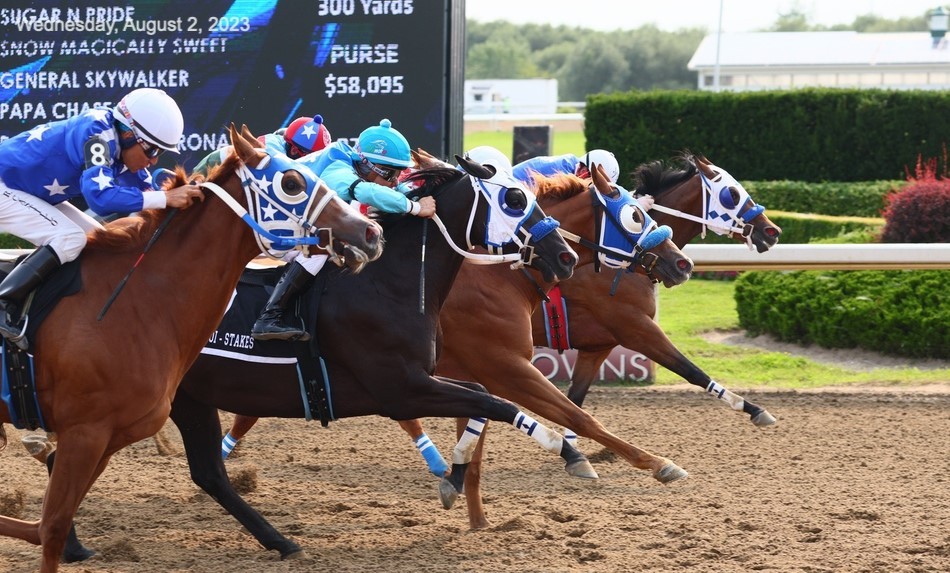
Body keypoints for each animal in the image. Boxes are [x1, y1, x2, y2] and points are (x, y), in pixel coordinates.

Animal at [0, 123, 384, 568]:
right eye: (291, 183)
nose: (371, 233)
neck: (135, 301)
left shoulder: (109, 435)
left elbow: (44, 525)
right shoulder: (84, 431)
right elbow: (51, 529)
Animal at [532, 152, 784, 438]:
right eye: (732, 193)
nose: (772, 231)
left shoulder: (597, 346)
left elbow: (575, 399)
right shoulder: (637, 328)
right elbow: (692, 371)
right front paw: (754, 409)